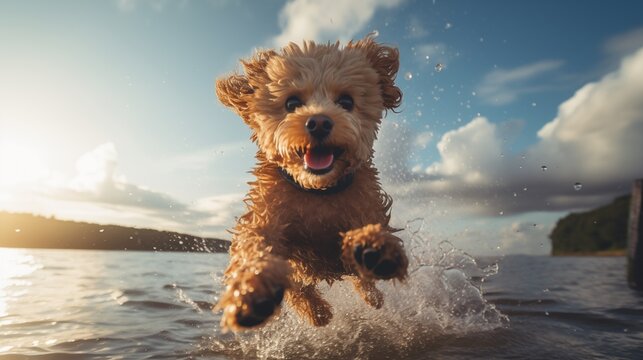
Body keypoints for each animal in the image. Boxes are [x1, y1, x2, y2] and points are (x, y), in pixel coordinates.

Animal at [215, 36, 408, 332]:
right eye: (292, 102)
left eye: (346, 101)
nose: (318, 122)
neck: (317, 192)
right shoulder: (267, 214)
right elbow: (254, 245)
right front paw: (250, 291)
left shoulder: (365, 205)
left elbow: (370, 229)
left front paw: (374, 249)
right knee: (299, 290)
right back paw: (317, 313)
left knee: (360, 282)